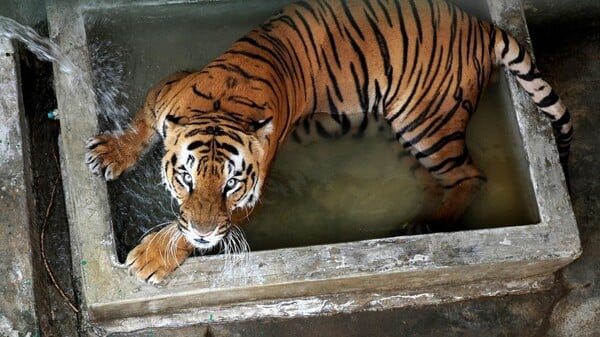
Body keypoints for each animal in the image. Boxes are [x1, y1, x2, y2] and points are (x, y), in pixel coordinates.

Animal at [84, 0, 572, 284]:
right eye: (185, 177)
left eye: (231, 184)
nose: (205, 232)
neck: (223, 105)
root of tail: (480, 26)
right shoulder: (166, 90)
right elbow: (142, 126)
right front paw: (112, 152)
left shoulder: (249, 194)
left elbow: (191, 231)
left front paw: (154, 255)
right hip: (406, 136)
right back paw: (416, 223)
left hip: (425, 123)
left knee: (470, 176)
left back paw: (431, 226)